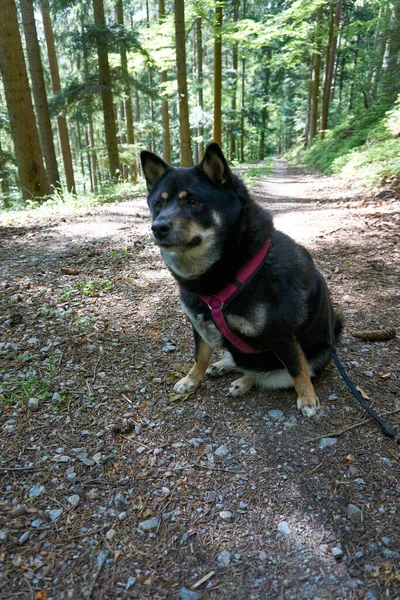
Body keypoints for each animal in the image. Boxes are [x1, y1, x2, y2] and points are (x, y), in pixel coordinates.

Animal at [140, 145, 340, 418]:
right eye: (158, 204)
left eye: (193, 202)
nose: (158, 227)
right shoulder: (198, 324)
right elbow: (200, 355)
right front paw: (192, 380)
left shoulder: (281, 334)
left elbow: (296, 369)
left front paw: (307, 399)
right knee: (243, 364)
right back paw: (224, 365)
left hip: (317, 356)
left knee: (268, 374)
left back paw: (243, 382)